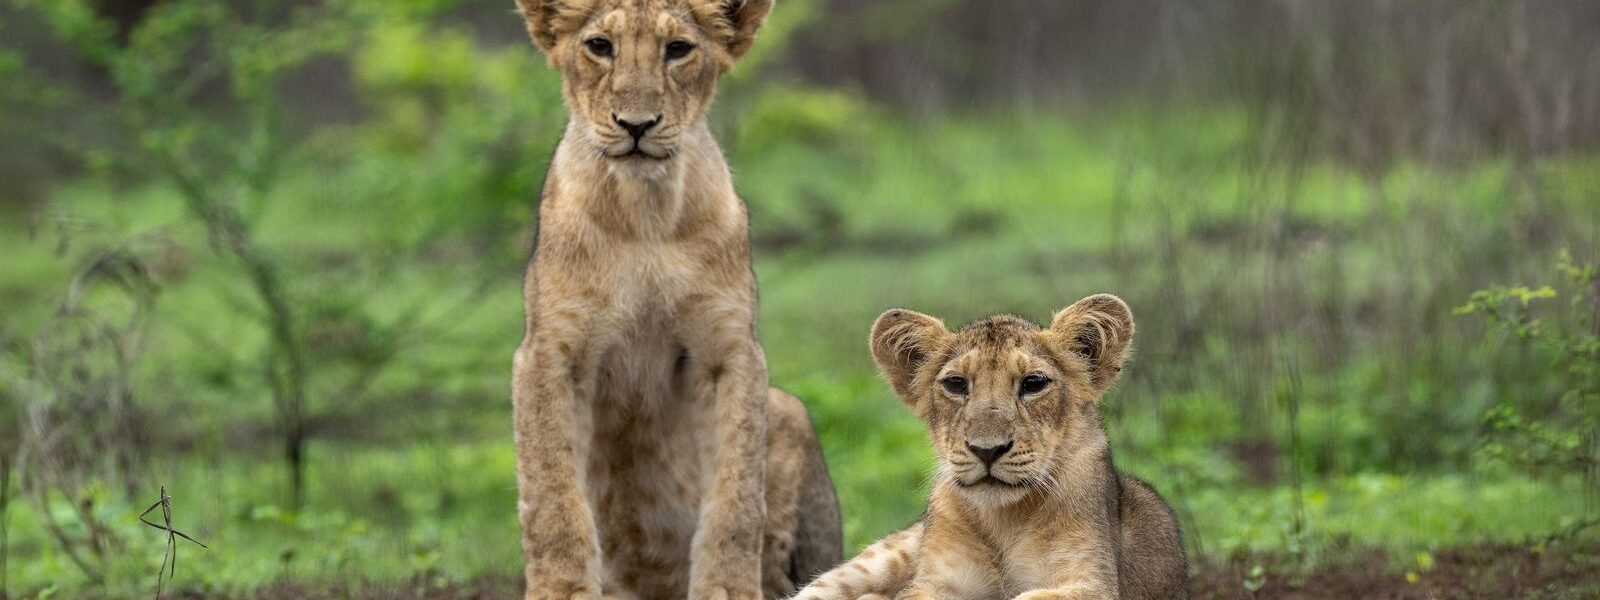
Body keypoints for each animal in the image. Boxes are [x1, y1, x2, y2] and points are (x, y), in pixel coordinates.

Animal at [508, 1, 842, 599]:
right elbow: (552, 495)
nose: (636, 125)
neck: (646, 214)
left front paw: (728, 588)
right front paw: (562, 589)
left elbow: (737, 497)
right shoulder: (548, 354)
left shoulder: (729, 352)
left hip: (791, 411)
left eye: (678, 50)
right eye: (600, 46)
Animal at [789, 294, 1188, 600]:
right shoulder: (933, 582)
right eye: (955, 384)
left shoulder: (1092, 583)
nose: (987, 450)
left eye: (1033, 383)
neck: (1003, 522)